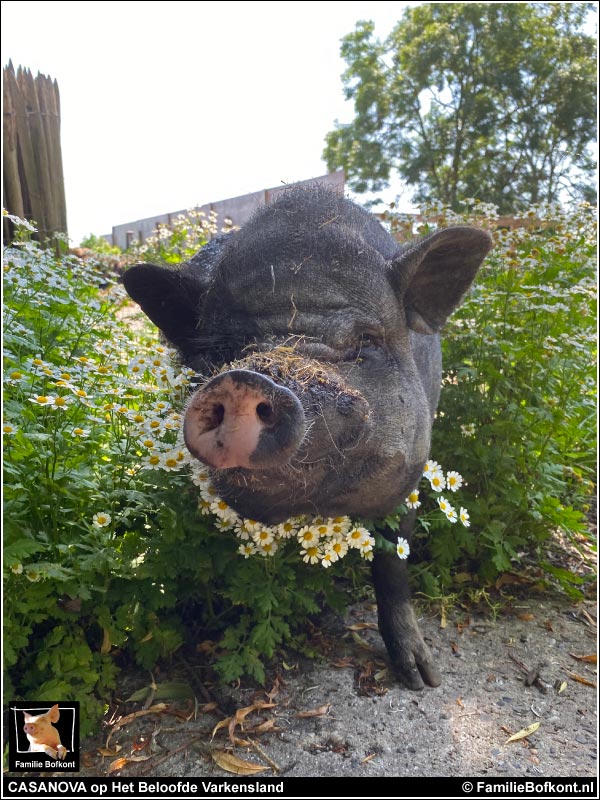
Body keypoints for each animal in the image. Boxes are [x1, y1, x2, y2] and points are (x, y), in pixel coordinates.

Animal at [123, 188, 492, 688]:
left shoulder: (413, 473)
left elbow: (393, 563)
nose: (246, 381)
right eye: (222, 351)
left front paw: (421, 679)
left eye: (365, 340)